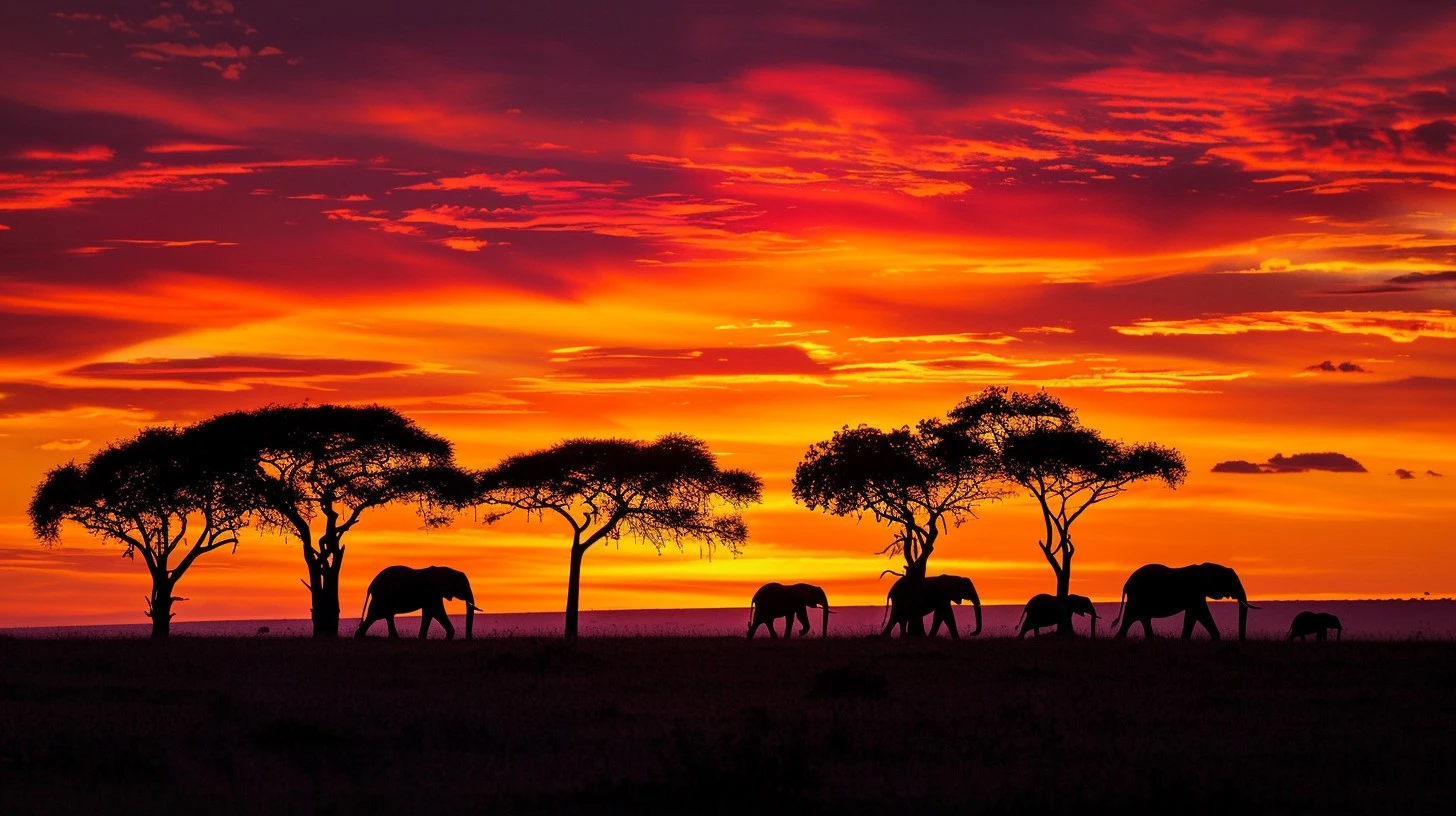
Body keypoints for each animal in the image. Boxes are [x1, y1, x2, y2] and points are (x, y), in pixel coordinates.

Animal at [1106, 565, 1257, 641]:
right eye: (1230, 582)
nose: (1241, 641)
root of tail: (1126, 584)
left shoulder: (1196, 595)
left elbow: (1193, 615)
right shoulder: (1195, 592)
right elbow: (1200, 613)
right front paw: (1215, 639)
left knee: (1140, 619)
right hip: (1137, 597)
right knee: (1131, 619)